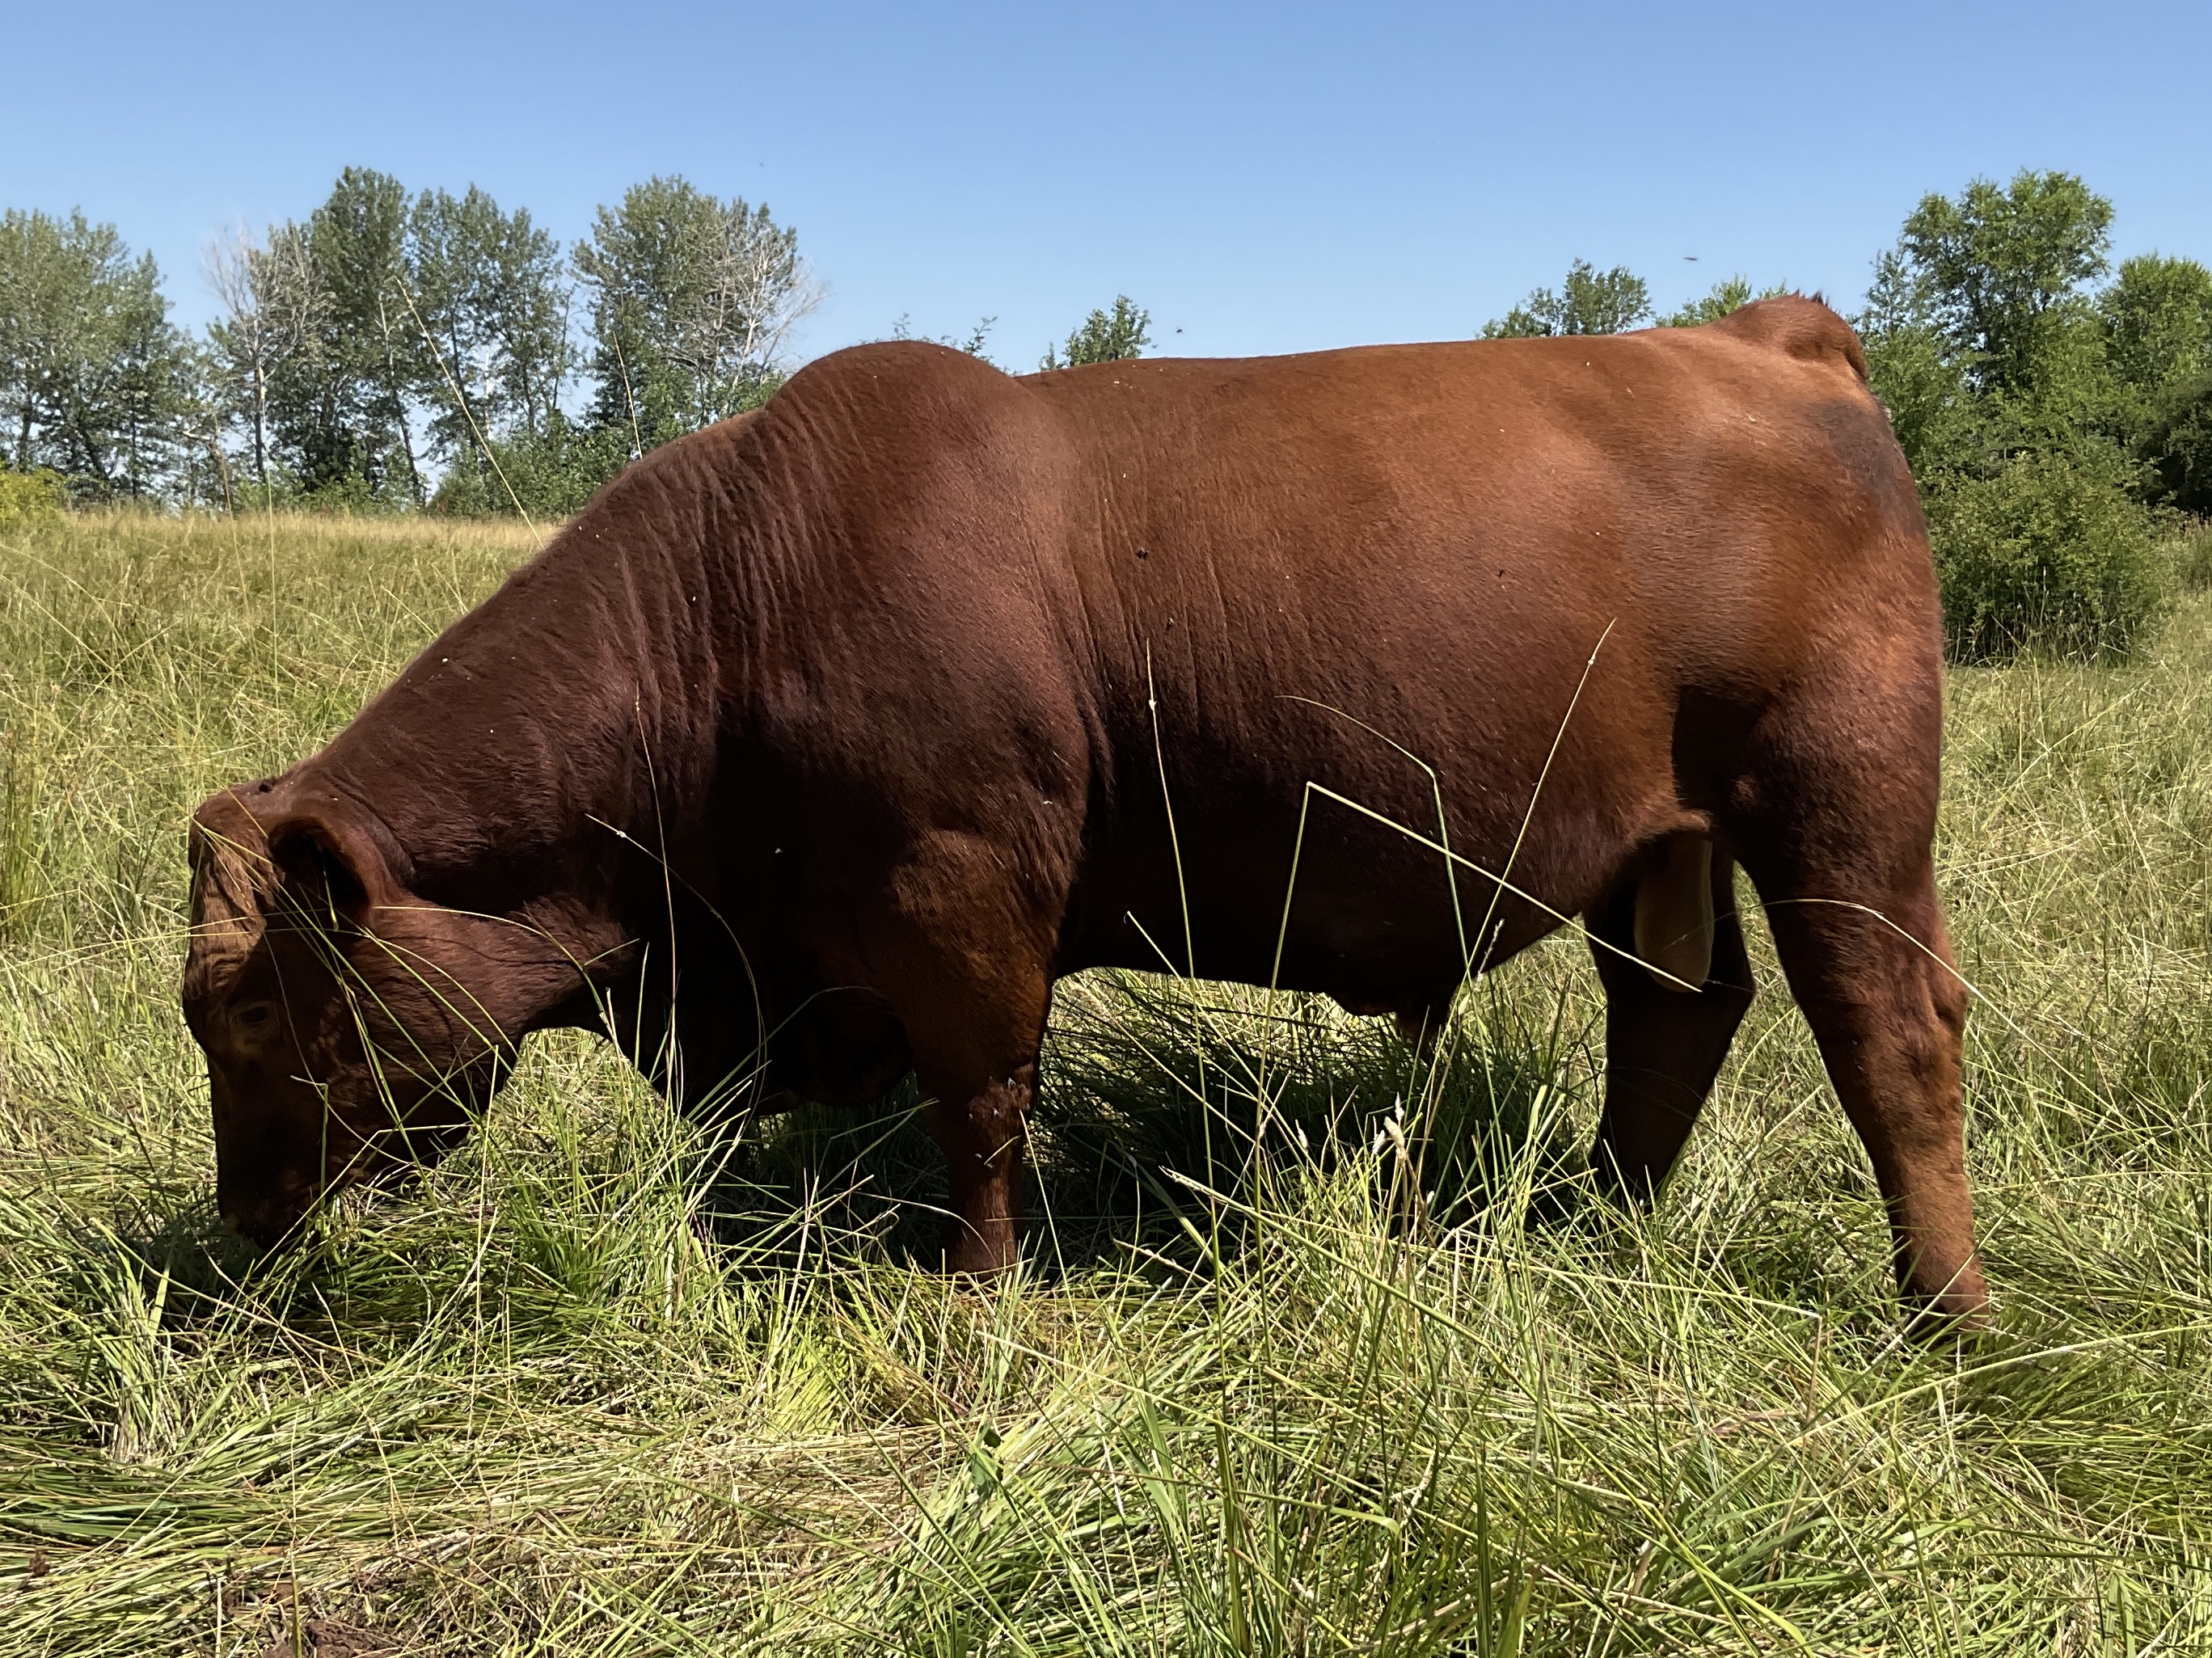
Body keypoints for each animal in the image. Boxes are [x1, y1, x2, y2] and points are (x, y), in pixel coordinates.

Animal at [185, 302, 1990, 1326]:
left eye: (254, 1007)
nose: (240, 1226)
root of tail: (1755, 331)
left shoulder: (960, 893)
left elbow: (981, 1106)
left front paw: (976, 1300)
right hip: (1662, 839)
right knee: (1678, 1010)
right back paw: (1589, 1226)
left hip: (1843, 789)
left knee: (1887, 1025)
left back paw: (1944, 1312)